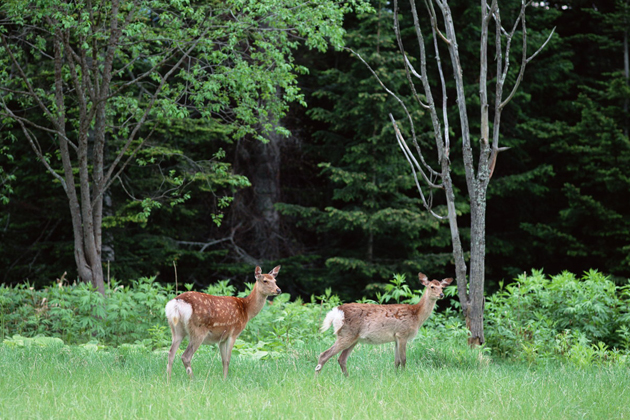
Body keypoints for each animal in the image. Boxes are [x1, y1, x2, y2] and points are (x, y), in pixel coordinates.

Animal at [316, 272, 454, 378]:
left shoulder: (396, 337)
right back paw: (317, 378)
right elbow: (404, 359)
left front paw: (396, 376)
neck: (417, 316)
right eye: (432, 286)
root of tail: (337, 312)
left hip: (353, 338)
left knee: (341, 359)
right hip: (346, 334)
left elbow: (396, 361)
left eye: (442, 287)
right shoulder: (402, 333)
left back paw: (347, 378)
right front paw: (405, 376)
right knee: (324, 355)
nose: (441, 295)